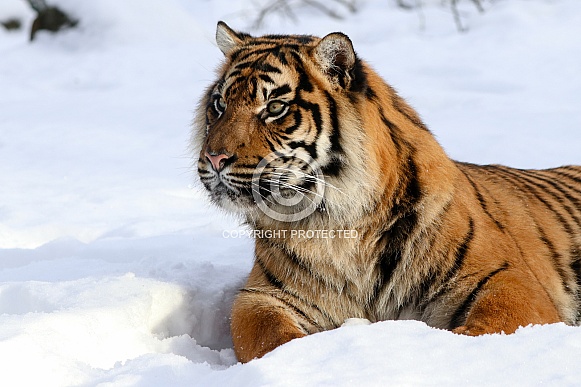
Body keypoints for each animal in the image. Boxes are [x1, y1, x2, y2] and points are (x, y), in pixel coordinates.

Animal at [194, 21, 580, 364]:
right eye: (219, 104)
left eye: (275, 107)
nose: (215, 157)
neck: (337, 227)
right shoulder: (263, 296)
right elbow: (267, 336)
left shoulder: (508, 279)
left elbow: (483, 330)